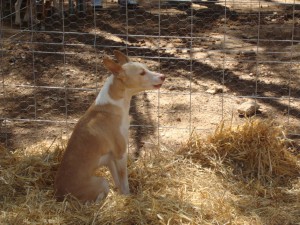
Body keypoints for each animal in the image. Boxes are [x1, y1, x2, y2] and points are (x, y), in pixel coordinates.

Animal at [54, 50, 166, 202]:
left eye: (147, 68)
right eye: (142, 73)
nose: (163, 76)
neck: (113, 105)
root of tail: (58, 195)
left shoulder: (110, 158)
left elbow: (118, 181)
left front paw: (121, 195)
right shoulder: (120, 154)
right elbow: (124, 181)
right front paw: (128, 197)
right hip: (102, 182)